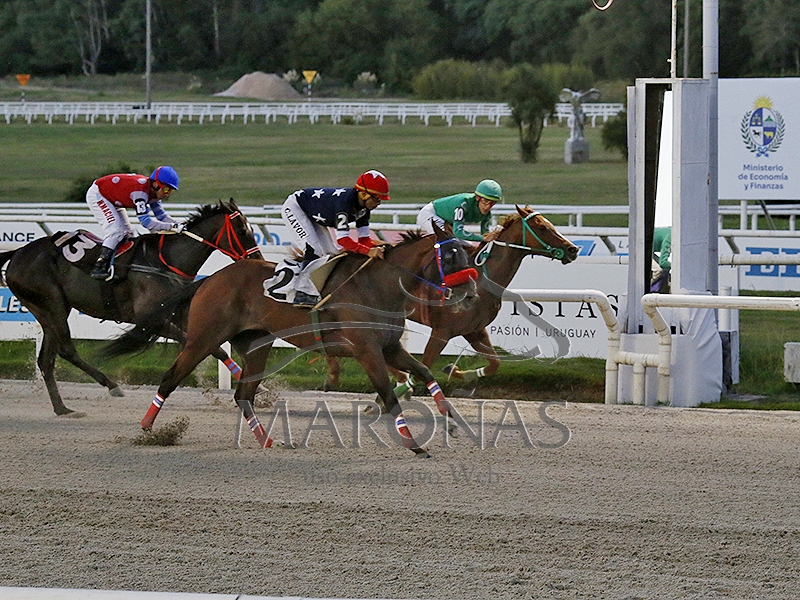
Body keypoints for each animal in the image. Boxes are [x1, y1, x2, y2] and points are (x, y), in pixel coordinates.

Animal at [0, 199, 261, 417]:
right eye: (242, 230)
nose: (257, 259)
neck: (166, 262)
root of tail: (17, 253)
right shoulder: (150, 320)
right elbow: (200, 344)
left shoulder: (181, 313)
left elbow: (217, 348)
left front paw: (256, 384)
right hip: (50, 304)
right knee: (66, 350)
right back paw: (111, 386)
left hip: (51, 309)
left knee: (46, 360)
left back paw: (62, 408)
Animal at [103, 222, 479, 456]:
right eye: (450, 256)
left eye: (468, 252)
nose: (473, 294)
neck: (377, 286)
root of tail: (209, 279)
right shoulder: (366, 350)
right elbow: (388, 394)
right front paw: (414, 444)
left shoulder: (389, 347)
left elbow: (426, 374)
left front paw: (454, 424)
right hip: (202, 338)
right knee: (171, 378)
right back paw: (147, 429)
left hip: (257, 343)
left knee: (243, 395)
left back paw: (268, 441)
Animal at [323, 206, 580, 394]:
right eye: (542, 227)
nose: (573, 249)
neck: (483, 280)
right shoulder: (442, 331)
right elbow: (425, 366)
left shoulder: (475, 330)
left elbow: (494, 363)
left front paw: (456, 372)